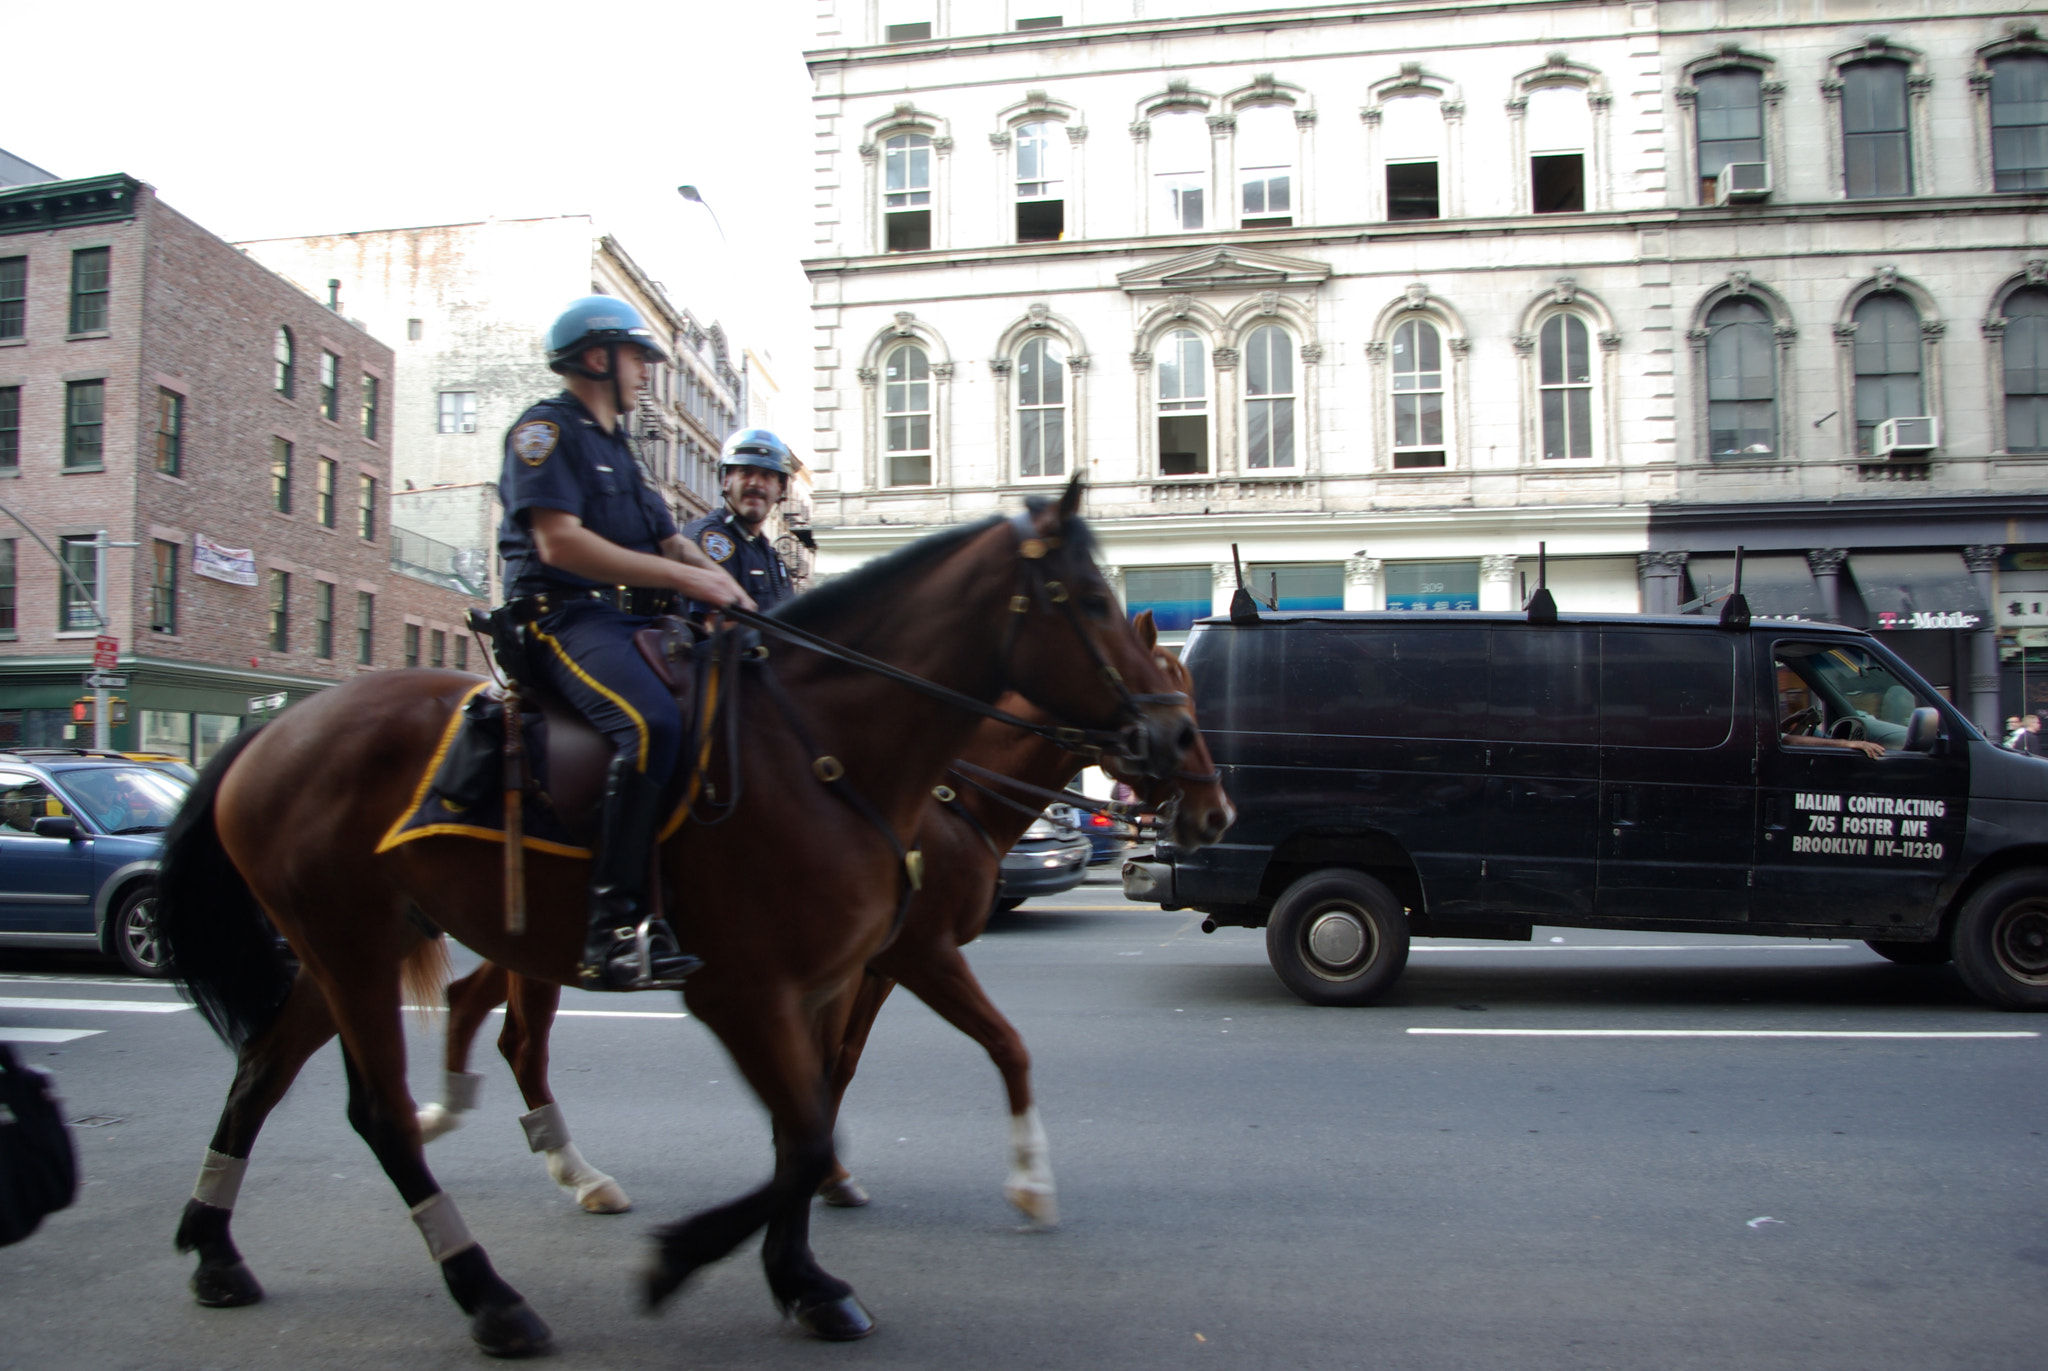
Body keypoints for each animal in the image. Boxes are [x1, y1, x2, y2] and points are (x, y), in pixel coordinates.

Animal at [407, 610, 1220, 1221]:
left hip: (524, 937)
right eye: (1168, 685)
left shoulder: (867, 965)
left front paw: (822, 1168)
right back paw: (573, 1170)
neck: (942, 795)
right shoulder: (904, 955)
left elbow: (839, 1060)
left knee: (469, 1000)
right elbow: (881, 1054)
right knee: (520, 1039)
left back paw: (442, 1114)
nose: (1217, 810)